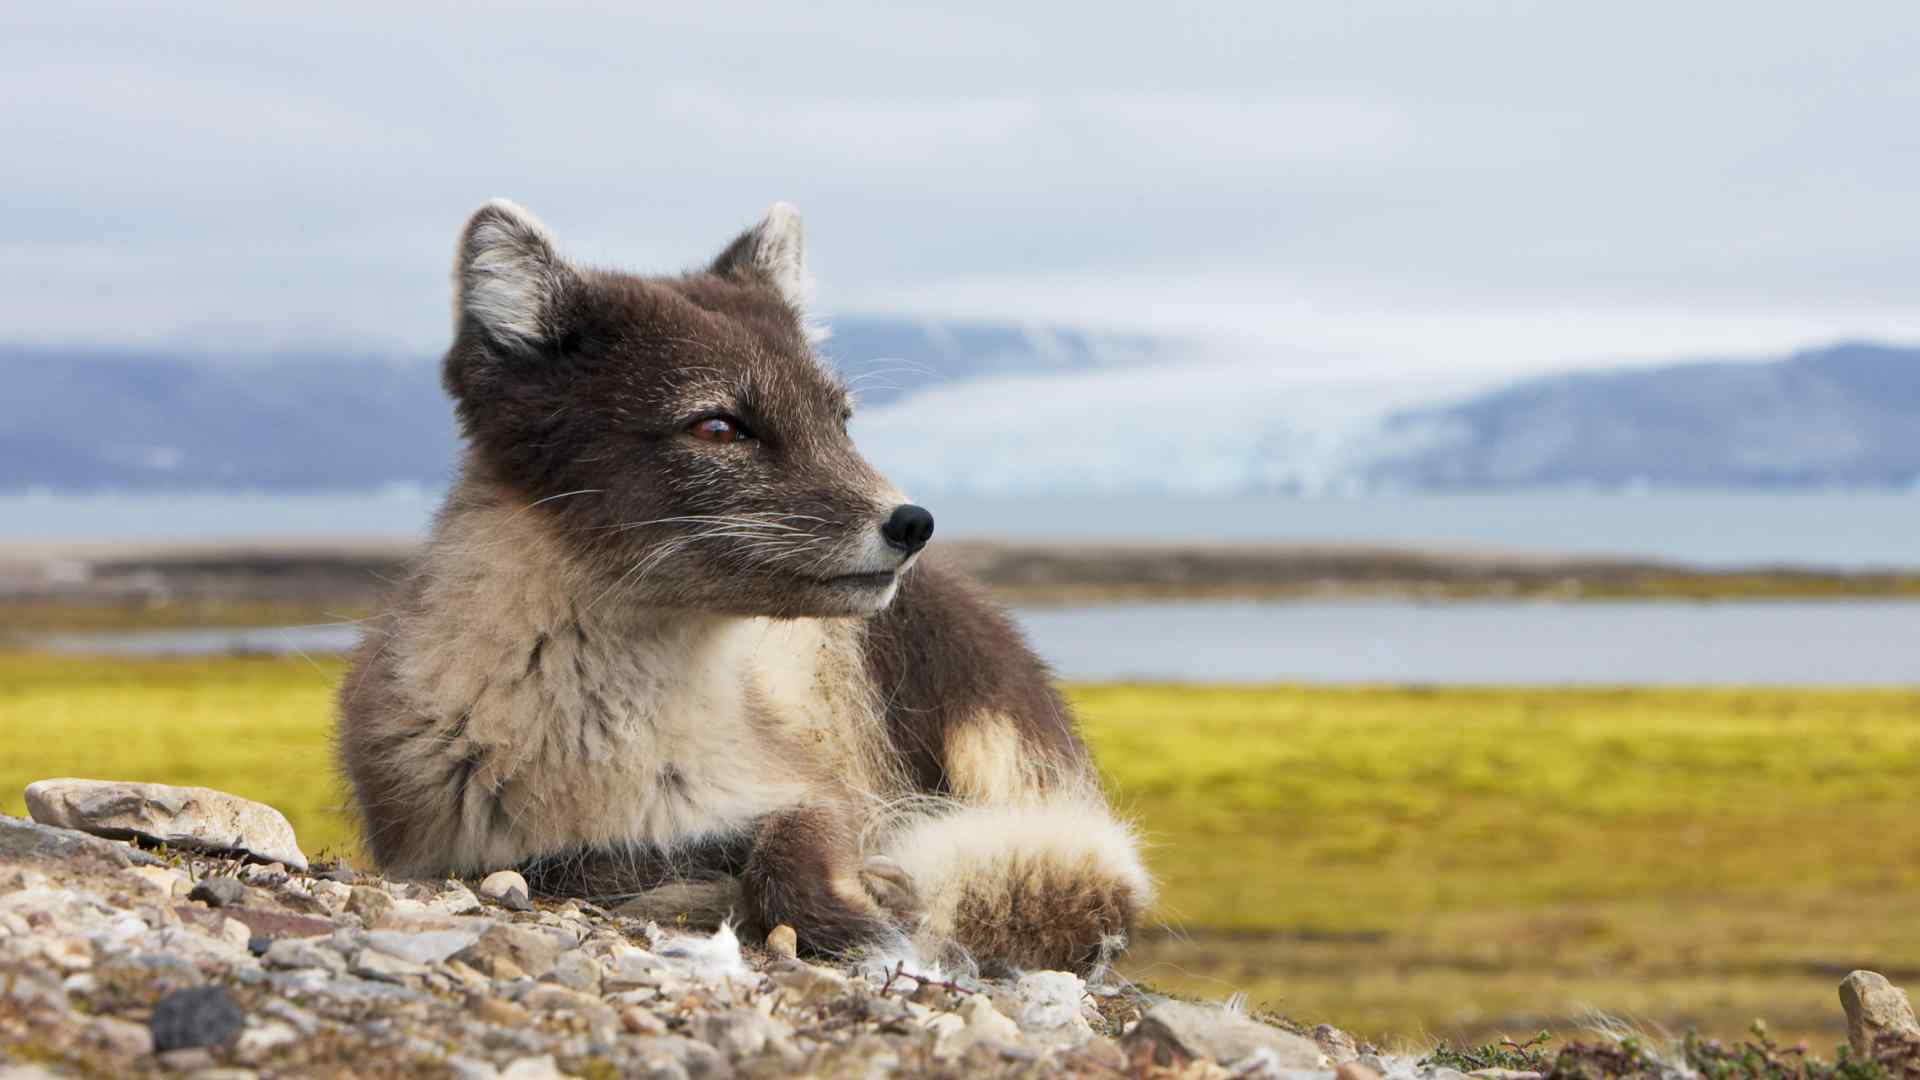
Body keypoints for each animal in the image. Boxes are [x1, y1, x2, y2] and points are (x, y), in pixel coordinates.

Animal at [336, 199, 1144, 968]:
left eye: (841, 420)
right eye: (719, 427)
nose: (914, 524)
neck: (607, 750)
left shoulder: (817, 790)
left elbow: (793, 847)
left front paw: (862, 913)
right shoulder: (455, 848)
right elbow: (573, 866)